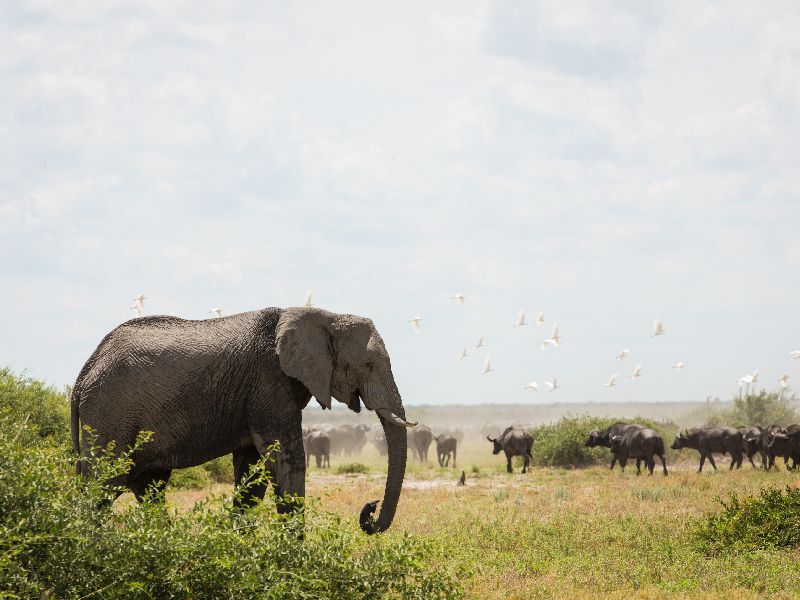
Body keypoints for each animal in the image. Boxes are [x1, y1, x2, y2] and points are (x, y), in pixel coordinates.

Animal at [71, 308, 416, 532]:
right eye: (368, 365)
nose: (370, 509)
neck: (324, 315)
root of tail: (83, 374)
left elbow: (253, 470)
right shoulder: (268, 382)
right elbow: (286, 459)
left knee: (149, 487)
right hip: (110, 417)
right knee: (103, 487)